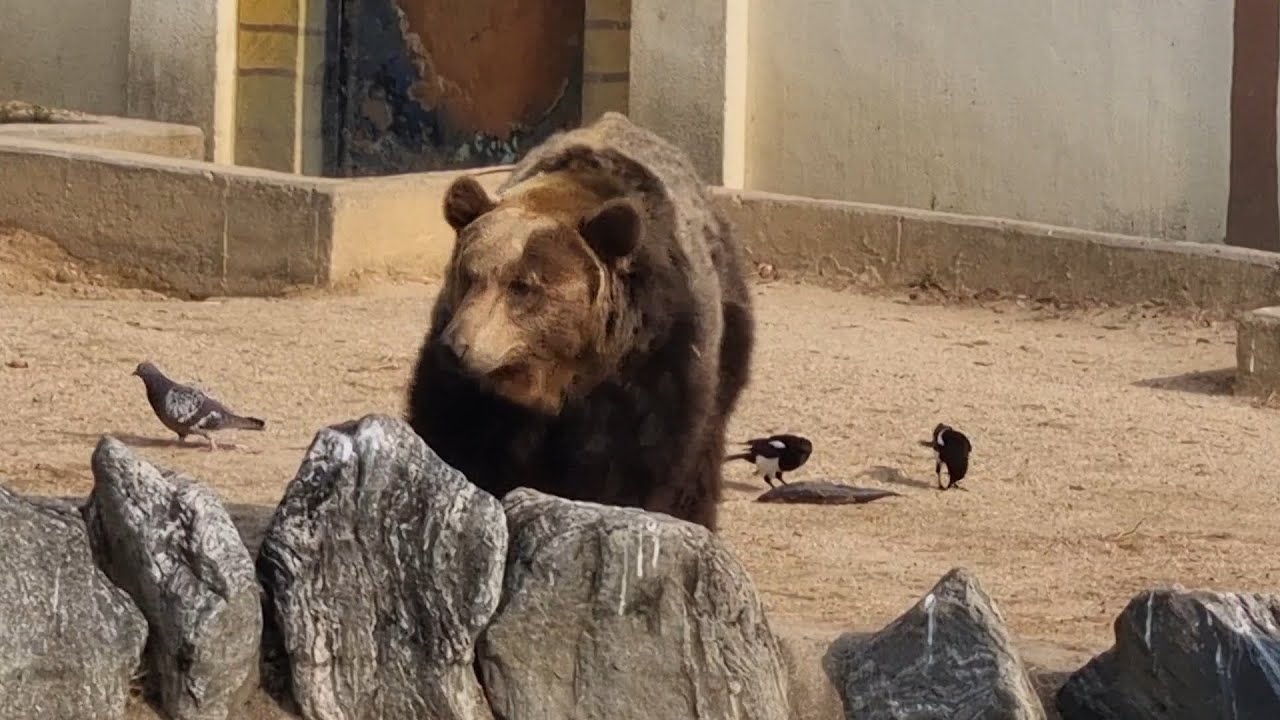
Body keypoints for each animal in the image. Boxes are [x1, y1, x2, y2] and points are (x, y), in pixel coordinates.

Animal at [405, 112, 755, 531]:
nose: (457, 346)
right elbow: (454, 436)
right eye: (469, 274)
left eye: (523, 286)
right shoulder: (468, 390)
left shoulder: (651, 363)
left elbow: (631, 466)